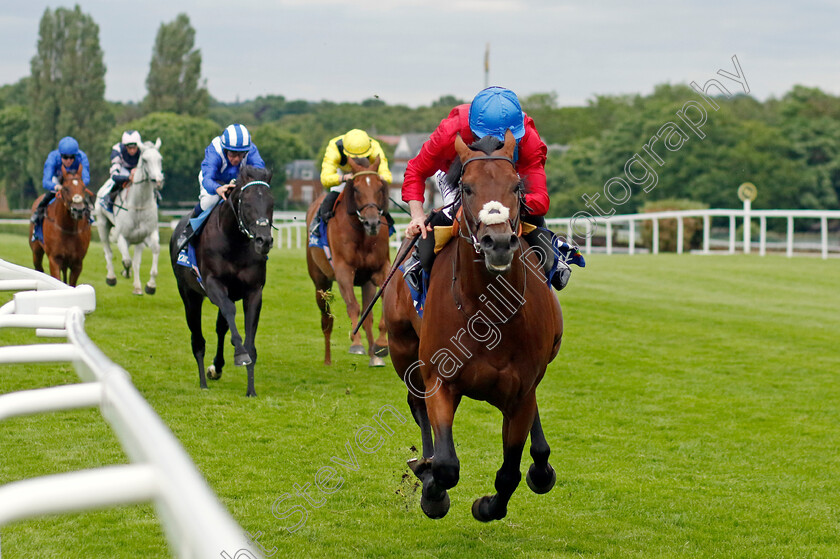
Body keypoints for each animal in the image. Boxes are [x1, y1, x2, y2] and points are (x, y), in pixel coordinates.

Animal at [95, 138, 164, 296]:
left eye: (160, 159)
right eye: (144, 160)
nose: (158, 181)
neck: (138, 204)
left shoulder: (149, 234)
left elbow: (154, 251)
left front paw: (150, 285)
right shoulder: (122, 236)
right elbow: (127, 260)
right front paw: (125, 272)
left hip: (138, 240)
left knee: (136, 262)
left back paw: (137, 287)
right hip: (102, 224)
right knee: (108, 252)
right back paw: (111, 277)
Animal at [169, 164, 274, 396]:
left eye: (271, 202)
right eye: (247, 202)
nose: (264, 241)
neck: (234, 241)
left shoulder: (254, 291)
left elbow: (248, 338)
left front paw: (251, 389)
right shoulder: (213, 284)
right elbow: (229, 312)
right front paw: (240, 354)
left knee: (220, 327)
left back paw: (216, 368)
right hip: (189, 295)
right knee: (197, 340)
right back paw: (203, 382)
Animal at [384, 132, 560, 524]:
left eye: (517, 186)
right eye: (466, 188)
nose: (498, 243)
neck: (487, 314)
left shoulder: (521, 392)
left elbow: (509, 471)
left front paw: (486, 505)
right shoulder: (440, 379)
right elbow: (447, 465)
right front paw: (433, 492)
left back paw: (541, 466)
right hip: (403, 350)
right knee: (415, 402)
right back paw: (424, 465)